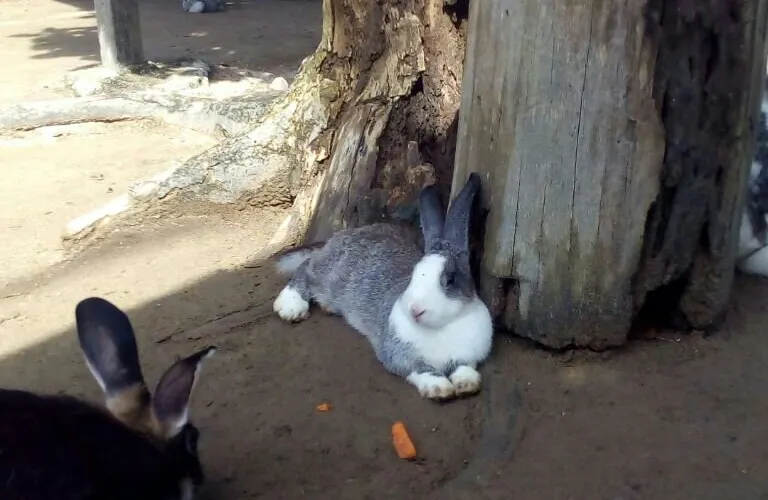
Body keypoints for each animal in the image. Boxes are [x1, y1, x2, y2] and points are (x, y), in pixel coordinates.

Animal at [272, 173, 493, 401]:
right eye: (414, 273)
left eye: (450, 280)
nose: (416, 311)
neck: (440, 327)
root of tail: (342, 235)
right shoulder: (399, 356)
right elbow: (421, 369)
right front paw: (439, 389)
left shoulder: (466, 356)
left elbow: (463, 368)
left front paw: (466, 384)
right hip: (327, 276)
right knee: (306, 268)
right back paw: (291, 308)